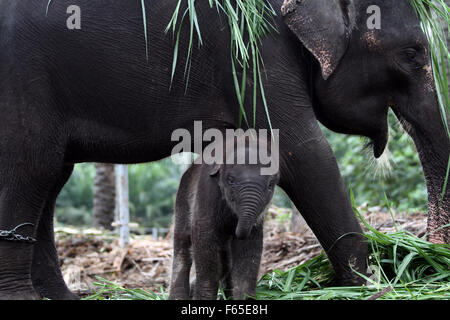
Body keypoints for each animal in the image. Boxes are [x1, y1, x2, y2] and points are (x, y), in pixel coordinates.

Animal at [171, 138, 280, 300]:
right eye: (231, 180)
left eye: (271, 185)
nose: (235, 230)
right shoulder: (206, 190)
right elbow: (205, 238)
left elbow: (250, 247)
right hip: (182, 199)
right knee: (183, 243)